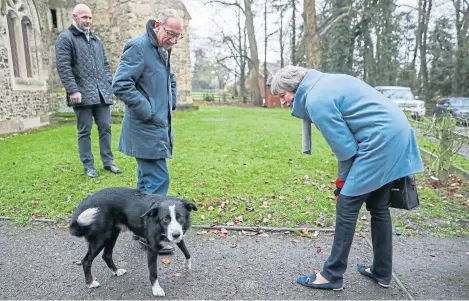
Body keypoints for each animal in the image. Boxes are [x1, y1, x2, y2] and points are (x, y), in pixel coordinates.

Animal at [68, 188, 197, 296]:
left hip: (112, 234)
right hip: (100, 238)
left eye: (180, 217)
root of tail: (84, 203)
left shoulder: (179, 236)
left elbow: (187, 252)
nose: (175, 234)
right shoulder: (152, 249)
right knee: (86, 260)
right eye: (165, 219)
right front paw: (156, 289)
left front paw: (187, 265)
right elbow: (153, 272)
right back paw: (90, 283)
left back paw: (116, 271)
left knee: (106, 255)